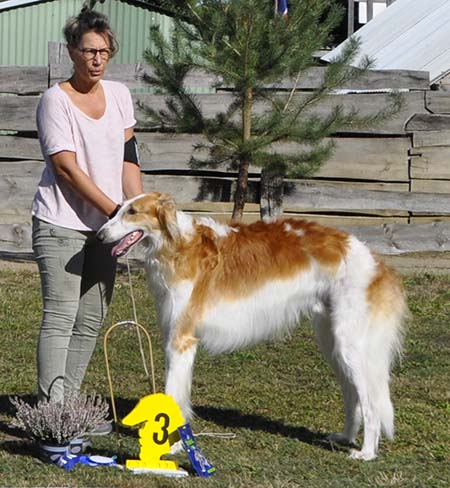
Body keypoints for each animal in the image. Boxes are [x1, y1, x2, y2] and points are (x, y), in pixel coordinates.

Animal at [97, 192, 406, 460]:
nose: (99, 235)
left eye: (133, 212)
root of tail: (371, 258)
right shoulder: (173, 338)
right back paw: (345, 437)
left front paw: (170, 447)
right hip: (332, 342)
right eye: (118, 209)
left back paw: (366, 452)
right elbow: (180, 398)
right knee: (353, 395)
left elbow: (173, 394)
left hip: (350, 344)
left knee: (370, 401)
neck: (177, 245)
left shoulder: (181, 340)